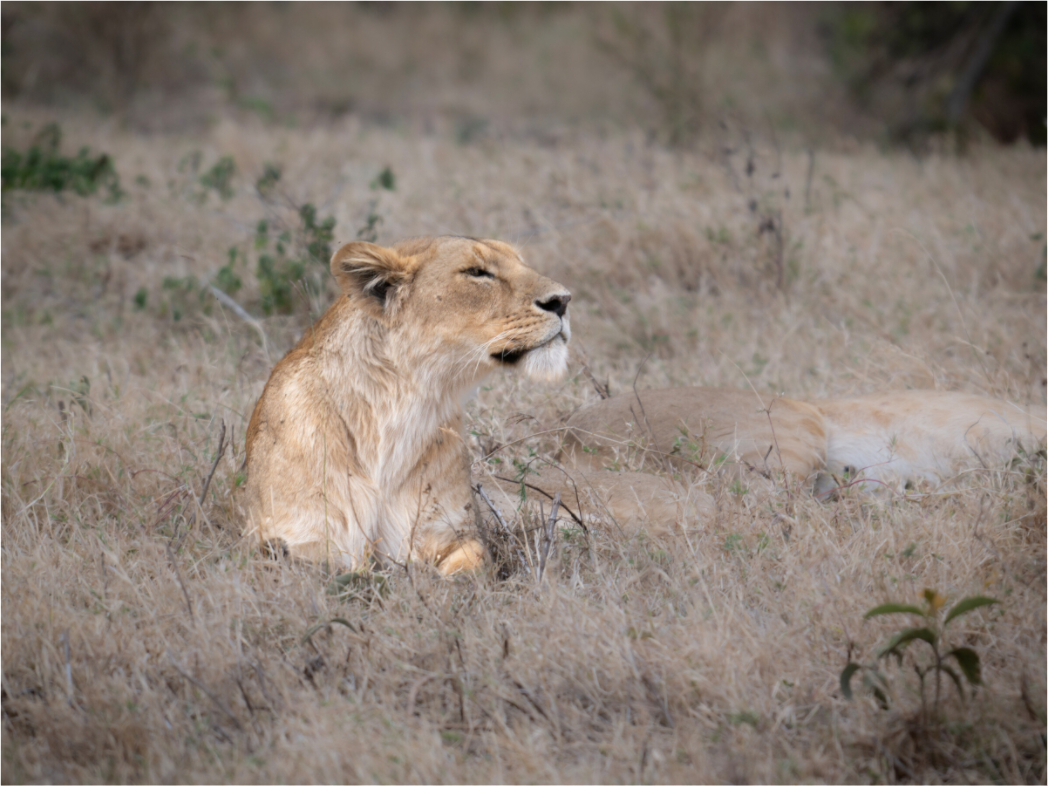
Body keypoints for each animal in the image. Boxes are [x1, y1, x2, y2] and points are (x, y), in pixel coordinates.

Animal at [243, 236, 572, 575]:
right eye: (477, 272)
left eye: (521, 262)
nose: (563, 300)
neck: (403, 408)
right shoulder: (294, 540)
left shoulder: (453, 534)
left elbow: (469, 569)